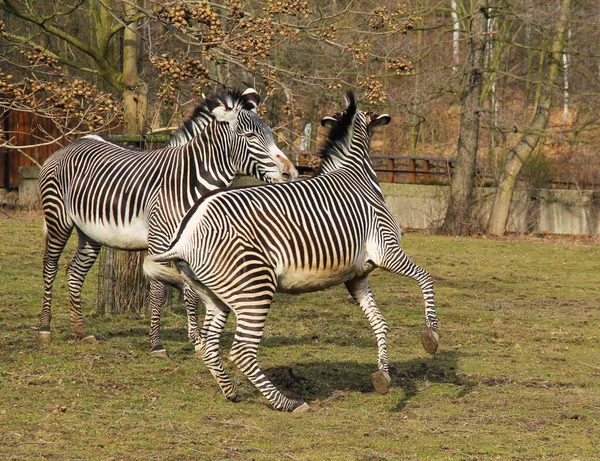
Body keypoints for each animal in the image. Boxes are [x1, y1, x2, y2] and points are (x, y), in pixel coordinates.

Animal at [37, 89, 298, 356]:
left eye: (270, 135)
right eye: (250, 136)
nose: (290, 173)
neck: (191, 181)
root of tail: (73, 143)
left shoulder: (192, 243)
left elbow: (192, 291)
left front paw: (197, 341)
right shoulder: (159, 241)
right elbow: (159, 290)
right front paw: (157, 344)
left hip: (90, 232)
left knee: (75, 272)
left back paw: (80, 331)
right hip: (58, 219)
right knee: (50, 267)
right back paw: (45, 329)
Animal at [143, 91, 438, 412]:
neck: (358, 177)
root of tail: (186, 236)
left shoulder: (356, 276)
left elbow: (379, 322)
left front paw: (383, 375)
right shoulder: (387, 250)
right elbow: (426, 278)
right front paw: (431, 336)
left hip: (215, 295)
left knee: (210, 346)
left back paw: (231, 392)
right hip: (254, 289)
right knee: (242, 351)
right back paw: (287, 403)